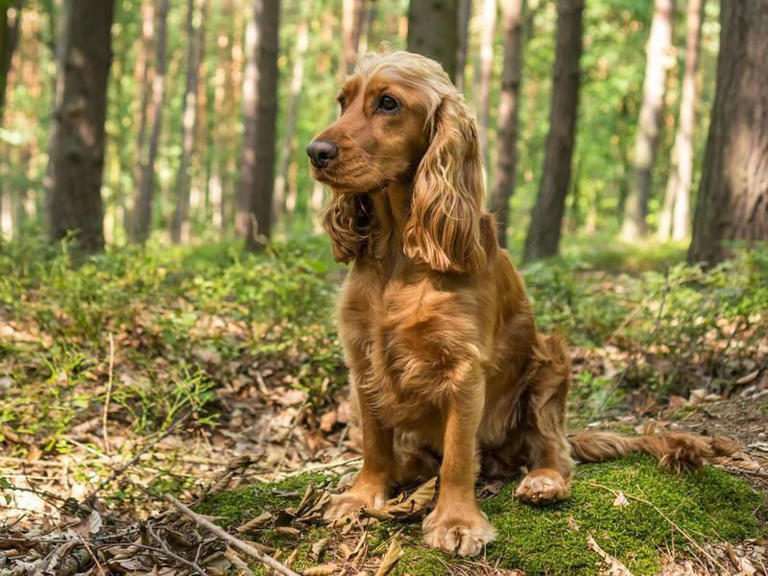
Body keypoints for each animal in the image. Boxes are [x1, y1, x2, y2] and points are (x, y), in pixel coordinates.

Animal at [304, 51, 732, 556]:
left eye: (388, 103)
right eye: (342, 101)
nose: (315, 152)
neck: (400, 254)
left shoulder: (464, 367)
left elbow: (457, 456)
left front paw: (456, 522)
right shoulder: (363, 357)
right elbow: (373, 440)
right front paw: (362, 495)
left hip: (550, 361)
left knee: (553, 450)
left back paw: (543, 481)